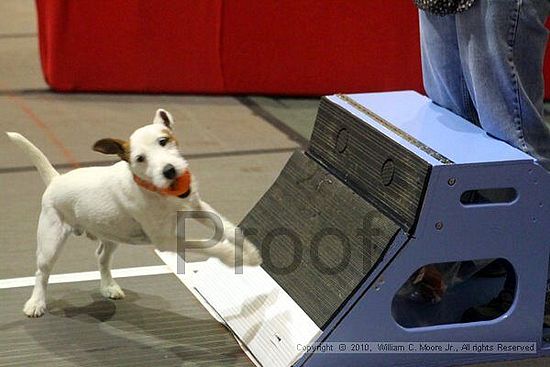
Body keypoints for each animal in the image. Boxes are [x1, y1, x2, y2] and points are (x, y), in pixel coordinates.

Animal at [7, 108, 264, 318]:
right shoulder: (166, 240)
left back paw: (108, 286)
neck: (157, 191)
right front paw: (232, 256)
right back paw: (36, 303)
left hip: (111, 235)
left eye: (164, 141)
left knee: (101, 257)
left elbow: (227, 227)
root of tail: (55, 179)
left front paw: (249, 252)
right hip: (51, 243)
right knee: (42, 273)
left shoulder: (197, 206)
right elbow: (206, 245)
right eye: (140, 158)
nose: (169, 171)